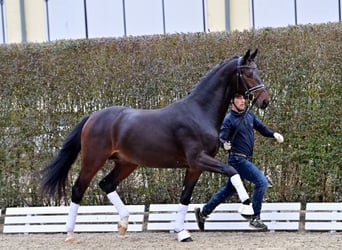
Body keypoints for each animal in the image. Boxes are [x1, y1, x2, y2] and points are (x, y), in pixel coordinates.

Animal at [40, 48, 270, 242]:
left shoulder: (194, 167)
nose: (264, 101)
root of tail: (93, 117)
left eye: (257, 70)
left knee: (106, 184)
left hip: (126, 163)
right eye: (247, 73)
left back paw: (123, 223)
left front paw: (182, 232)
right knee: (79, 189)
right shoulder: (199, 159)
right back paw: (70, 234)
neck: (199, 111)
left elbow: (185, 197)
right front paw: (248, 209)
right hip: (93, 160)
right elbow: (232, 171)